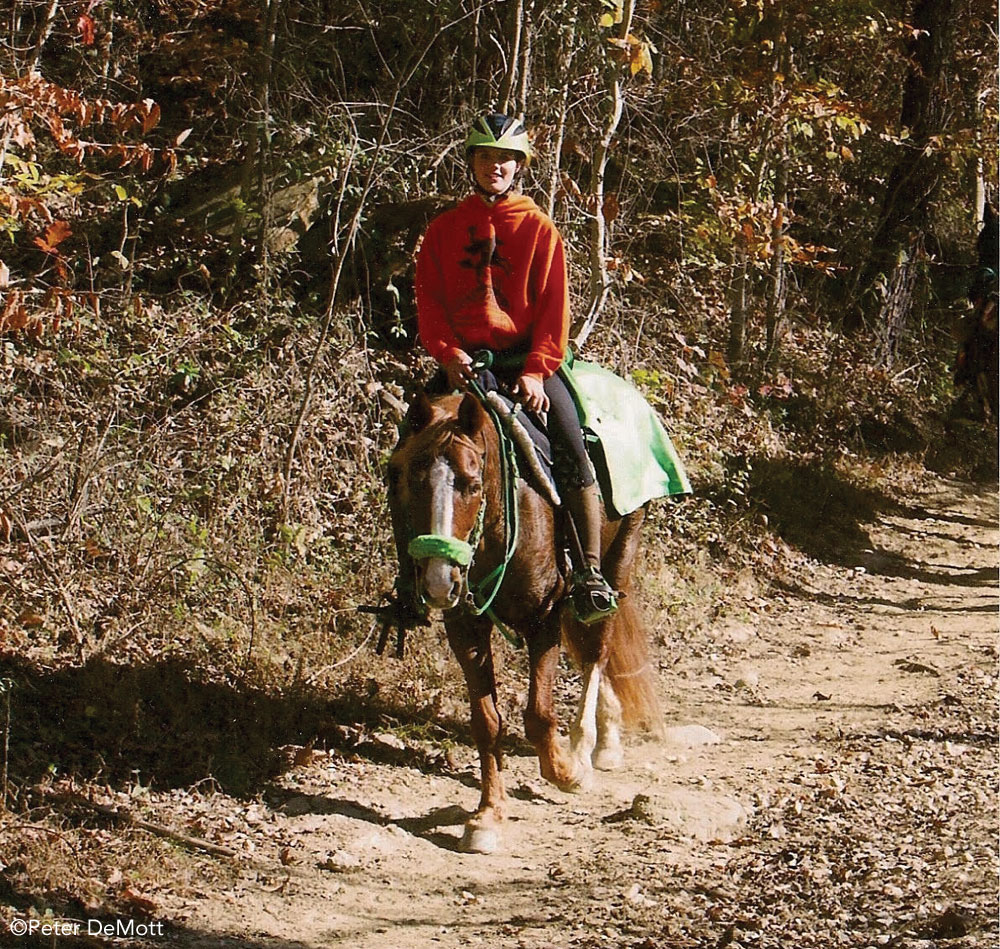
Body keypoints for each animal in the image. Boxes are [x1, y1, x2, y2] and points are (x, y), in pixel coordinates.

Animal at [386, 388, 660, 856]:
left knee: (597, 651)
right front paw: (488, 815)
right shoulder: (466, 626)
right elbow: (486, 722)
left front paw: (567, 771)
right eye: (405, 478)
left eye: (472, 485)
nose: (439, 581)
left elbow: (538, 714)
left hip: (619, 556)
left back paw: (590, 745)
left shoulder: (542, 619)